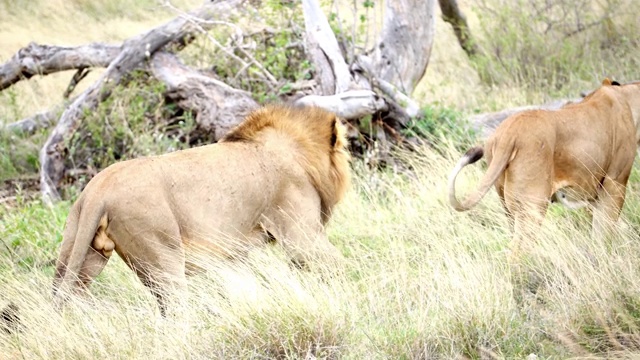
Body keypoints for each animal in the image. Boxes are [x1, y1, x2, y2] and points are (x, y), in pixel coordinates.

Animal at [52, 104, 352, 316]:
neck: (300, 155)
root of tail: (98, 190)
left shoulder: (235, 252)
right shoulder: (302, 236)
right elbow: (337, 267)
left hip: (81, 249)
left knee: (65, 292)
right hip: (163, 254)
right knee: (174, 309)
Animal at [448, 79, 640, 253]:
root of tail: (510, 133)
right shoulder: (614, 184)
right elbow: (604, 233)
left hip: (507, 204)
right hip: (534, 204)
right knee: (517, 250)